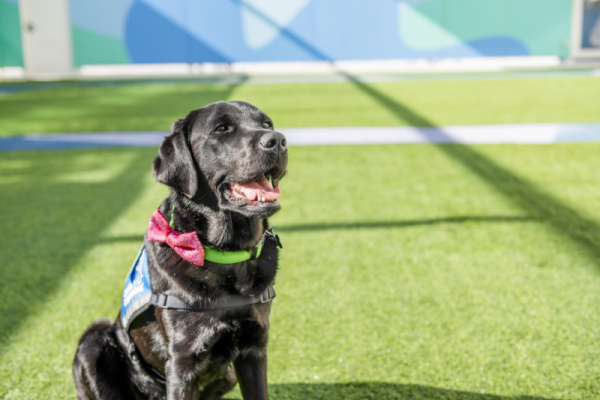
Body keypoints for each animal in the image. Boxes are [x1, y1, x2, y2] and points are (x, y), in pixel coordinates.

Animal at [72, 101, 288, 398]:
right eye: (222, 128)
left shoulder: (254, 348)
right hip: (92, 341)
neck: (226, 255)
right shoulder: (182, 361)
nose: (278, 140)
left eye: (266, 124)